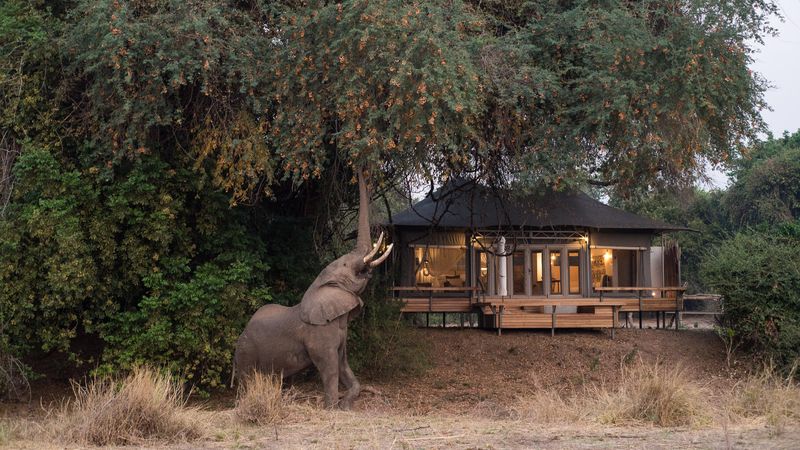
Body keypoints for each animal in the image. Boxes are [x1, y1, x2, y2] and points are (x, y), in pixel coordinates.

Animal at [233, 171, 392, 409]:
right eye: (345, 264)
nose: (360, 168)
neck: (320, 284)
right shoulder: (319, 334)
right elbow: (330, 367)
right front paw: (332, 408)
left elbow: (343, 364)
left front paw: (345, 404)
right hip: (246, 351)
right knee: (246, 381)